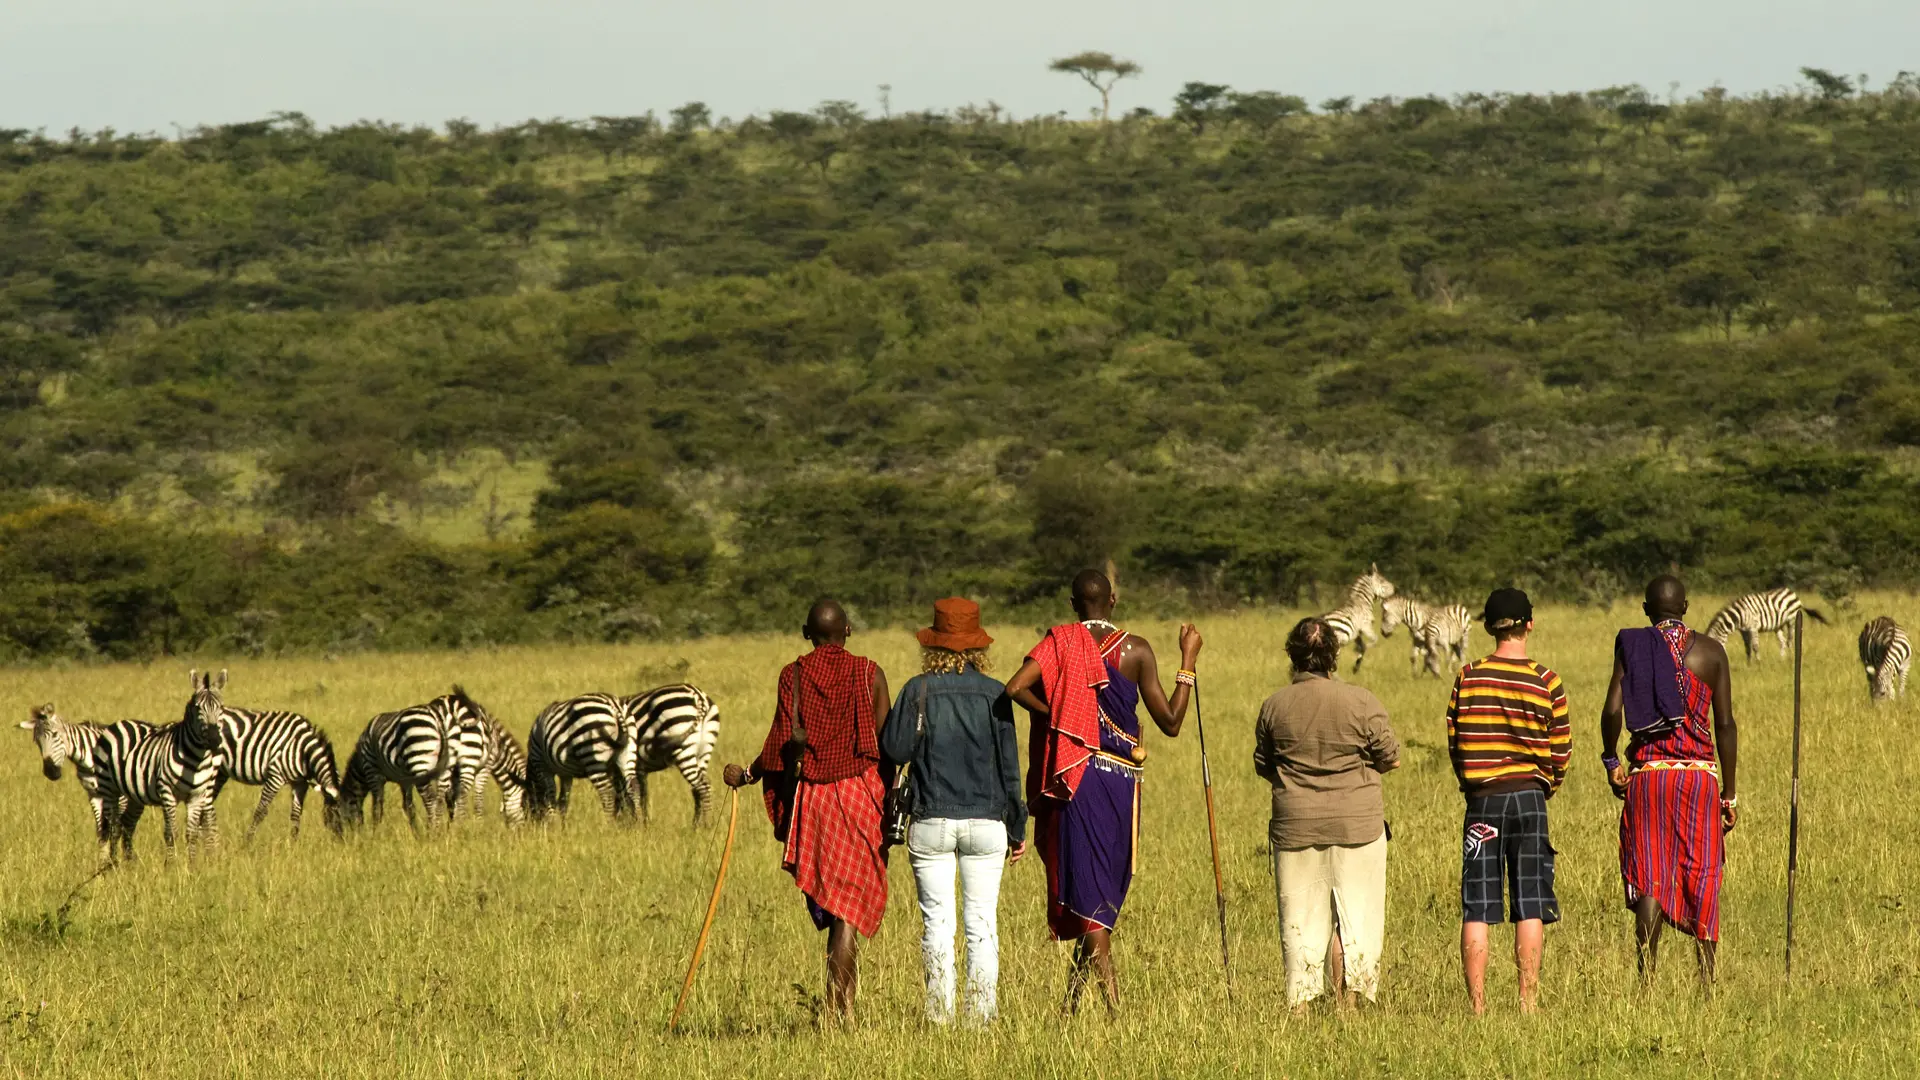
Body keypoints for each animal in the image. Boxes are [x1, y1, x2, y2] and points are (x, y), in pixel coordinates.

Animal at [18, 703, 155, 860]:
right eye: (36, 741)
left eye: (55, 734)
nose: (51, 772)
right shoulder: (94, 795)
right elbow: (102, 831)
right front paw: (104, 861)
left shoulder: (120, 797)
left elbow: (115, 828)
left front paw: (113, 861)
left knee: (128, 825)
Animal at [92, 668, 230, 860]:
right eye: (197, 708)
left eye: (221, 708)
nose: (214, 740)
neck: (196, 758)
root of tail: (118, 723)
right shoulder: (167, 793)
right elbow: (171, 833)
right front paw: (170, 864)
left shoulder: (196, 796)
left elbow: (192, 835)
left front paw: (192, 865)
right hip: (109, 788)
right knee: (112, 827)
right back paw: (111, 863)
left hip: (134, 795)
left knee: (126, 823)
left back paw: (128, 862)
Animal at [212, 684, 343, 837]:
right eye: (337, 812)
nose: (346, 839)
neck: (302, 751)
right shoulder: (275, 777)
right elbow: (261, 811)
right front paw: (248, 840)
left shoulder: (300, 783)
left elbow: (296, 814)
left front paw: (293, 841)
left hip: (221, 772)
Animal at [336, 687, 458, 834]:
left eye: (336, 817)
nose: (342, 837)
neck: (360, 763)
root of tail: (437, 716)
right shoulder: (405, 781)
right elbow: (408, 807)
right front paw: (415, 832)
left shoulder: (373, 772)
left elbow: (377, 806)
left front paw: (375, 833)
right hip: (446, 766)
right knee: (443, 798)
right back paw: (443, 831)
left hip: (419, 759)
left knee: (431, 799)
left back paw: (432, 831)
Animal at [614, 680, 721, 822]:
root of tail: (698, 696)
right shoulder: (639, 769)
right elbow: (642, 795)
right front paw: (644, 822)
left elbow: (629, 795)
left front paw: (635, 822)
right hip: (704, 751)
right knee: (698, 788)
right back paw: (696, 824)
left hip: (683, 746)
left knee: (702, 786)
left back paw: (706, 824)